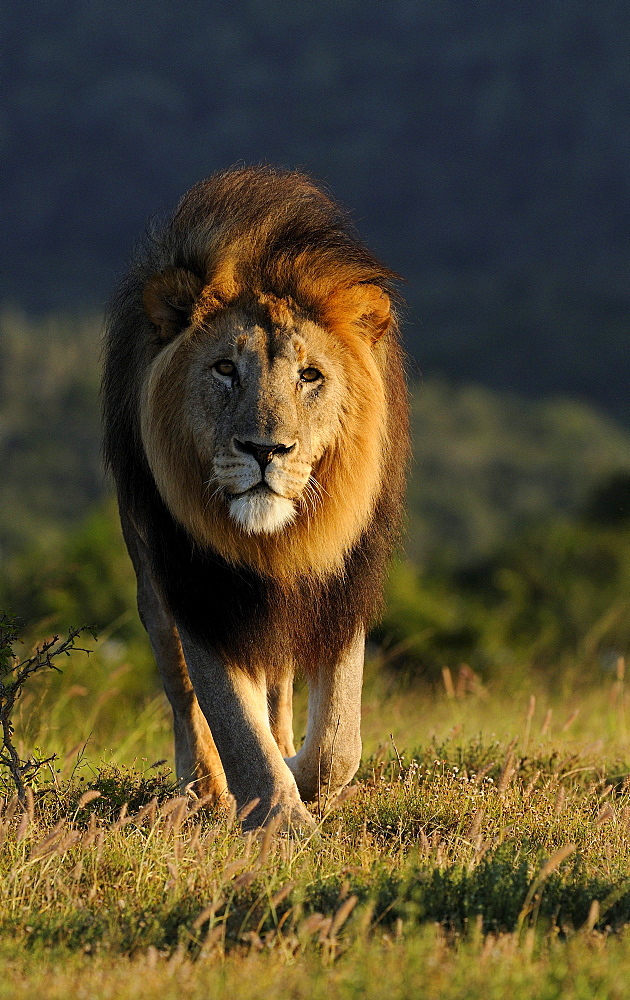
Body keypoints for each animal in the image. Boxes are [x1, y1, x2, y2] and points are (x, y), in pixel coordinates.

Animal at [103, 168, 410, 832]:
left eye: (310, 375)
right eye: (224, 369)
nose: (265, 449)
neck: (273, 537)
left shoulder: (341, 581)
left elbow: (338, 738)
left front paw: (302, 778)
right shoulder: (198, 583)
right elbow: (230, 715)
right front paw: (277, 817)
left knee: (279, 681)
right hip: (149, 576)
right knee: (181, 688)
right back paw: (203, 791)